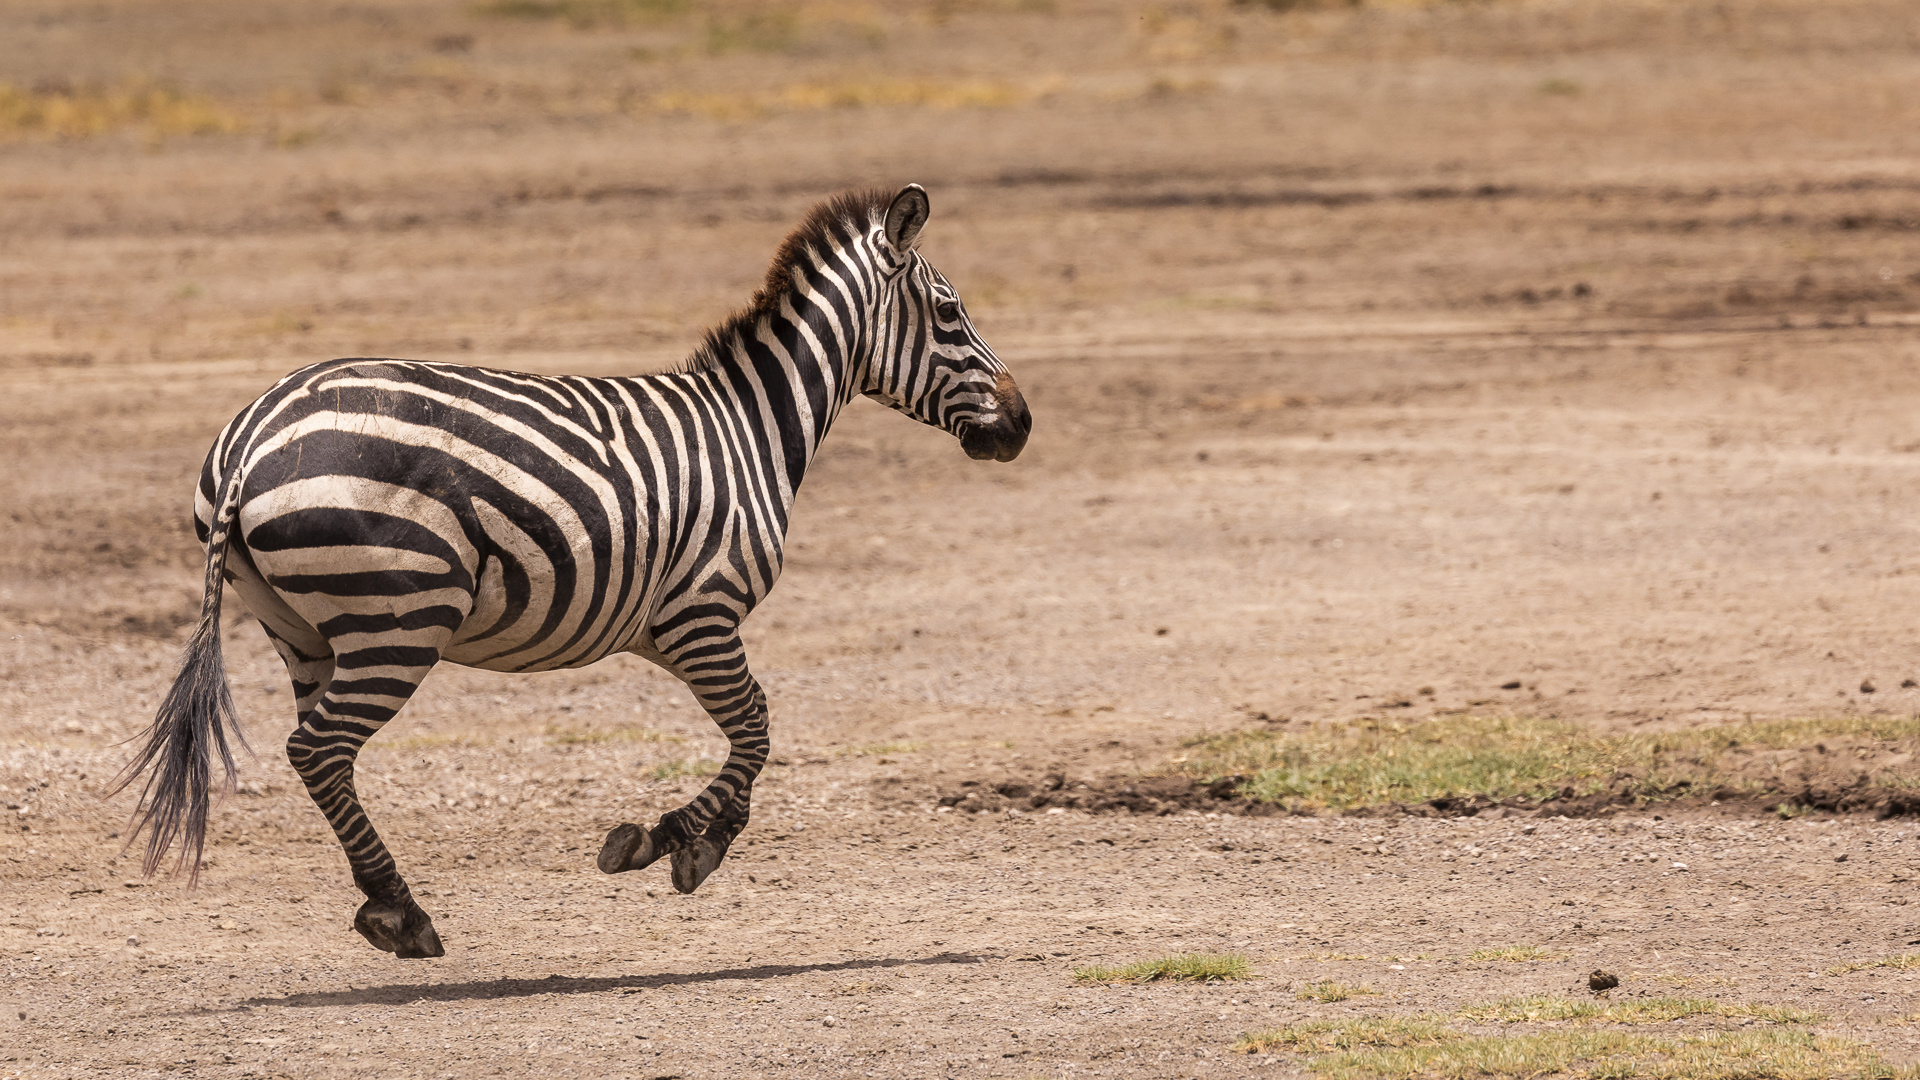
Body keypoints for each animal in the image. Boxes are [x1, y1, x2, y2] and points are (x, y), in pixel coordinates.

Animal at [112, 180, 1029, 953]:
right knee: (319, 749)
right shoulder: (701, 613)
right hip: (397, 620)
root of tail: (251, 436)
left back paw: (385, 903)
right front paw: (674, 843)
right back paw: (401, 910)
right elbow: (757, 728)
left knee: (324, 758)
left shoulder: (661, 629)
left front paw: (686, 841)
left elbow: (751, 731)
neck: (752, 426)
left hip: (300, 629)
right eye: (950, 312)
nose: (1021, 425)